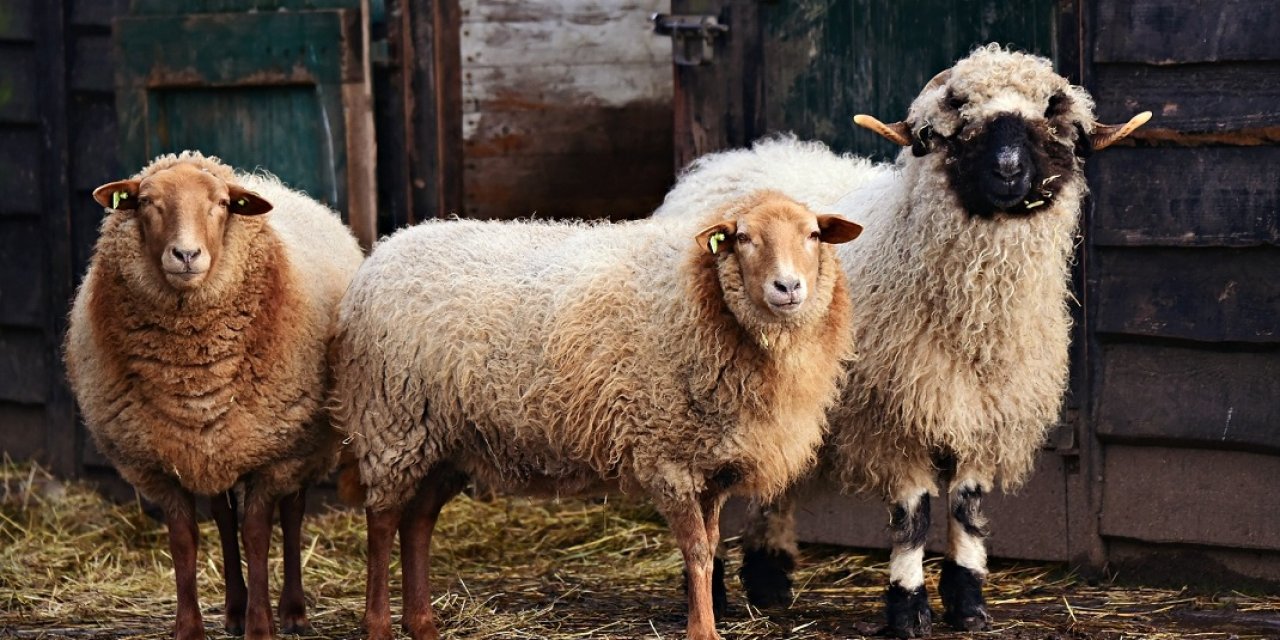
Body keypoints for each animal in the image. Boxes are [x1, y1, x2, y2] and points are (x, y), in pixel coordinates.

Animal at [65, 151, 366, 640]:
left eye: (222, 204)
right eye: (146, 202)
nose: (186, 255)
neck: (193, 378)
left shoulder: (273, 454)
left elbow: (258, 536)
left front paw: (262, 627)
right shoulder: (160, 463)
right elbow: (185, 539)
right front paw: (191, 627)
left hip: (302, 443)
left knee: (293, 513)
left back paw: (293, 610)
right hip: (214, 449)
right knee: (223, 520)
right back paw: (235, 608)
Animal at [335, 190, 865, 640]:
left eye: (813, 235)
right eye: (744, 238)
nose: (788, 287)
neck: (697, 296)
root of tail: (386, 249)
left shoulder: (711, 462)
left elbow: (711, 545)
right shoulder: (667, 455)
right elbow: (696, 551)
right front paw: (703, 631)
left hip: (447, 438)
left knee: (418, 523)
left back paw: (423, 625)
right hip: (393, 421)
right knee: (382, 521)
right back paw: (379, 625)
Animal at [650, 43, 1152, 634]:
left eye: (1051, 126)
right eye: (960, 127)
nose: (1008, 172)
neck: (978, 326)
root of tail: (729, 159)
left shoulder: (981, 413)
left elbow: (966, 509)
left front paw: (969, 604)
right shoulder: (894, 415)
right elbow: (914, 517)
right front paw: (908, 608)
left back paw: (769, 580)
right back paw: (715, 591)